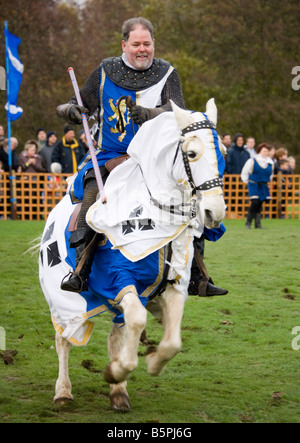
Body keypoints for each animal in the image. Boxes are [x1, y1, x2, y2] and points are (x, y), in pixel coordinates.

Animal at [39, 101, 225, 412]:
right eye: (191, 154)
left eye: (222, 152)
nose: (215, 211)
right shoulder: (117, 281)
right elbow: (137, 321)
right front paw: (116, 371)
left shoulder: (172, 288)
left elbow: (171, 341)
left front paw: (147, 364)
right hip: (63, 298)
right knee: (63, 338)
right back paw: (63, 392)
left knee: (116, 335)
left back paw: (118, 392)